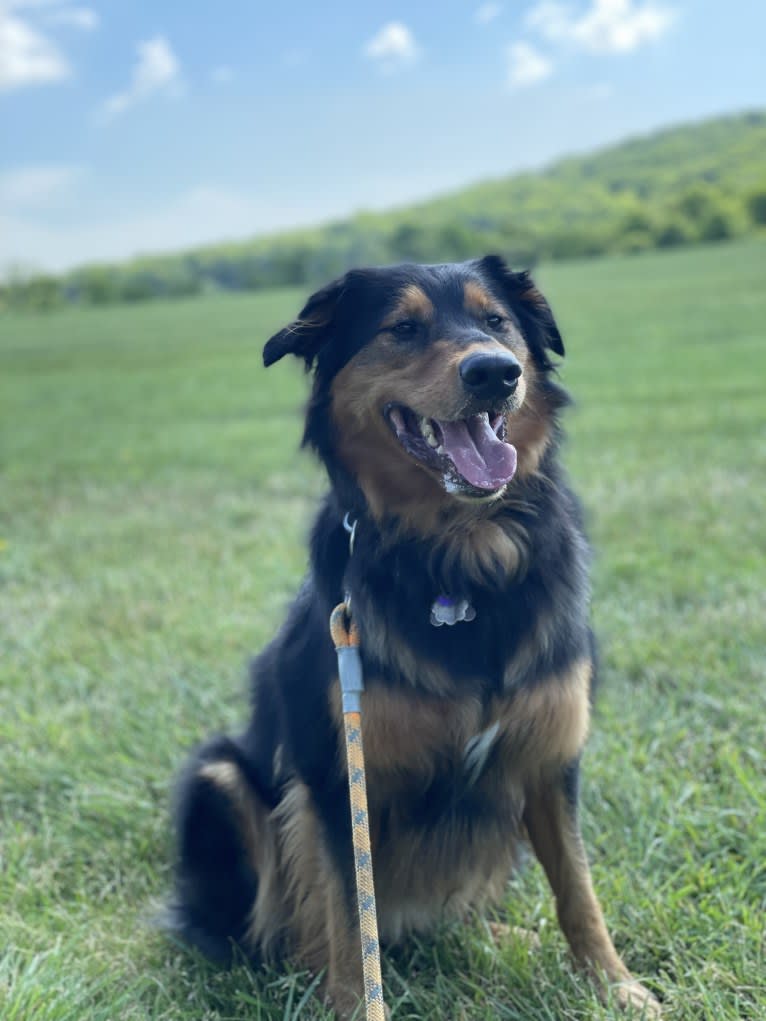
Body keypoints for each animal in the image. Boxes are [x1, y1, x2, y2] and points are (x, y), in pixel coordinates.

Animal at [170, 253, 661, 1012]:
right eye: (402, 328)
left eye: (497, 322)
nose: (494, 372)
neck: (459, 557)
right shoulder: (338, 775)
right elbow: (349, 922)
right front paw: (353, 1005)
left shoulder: (549, 756)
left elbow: (579, 888)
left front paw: (616, 986)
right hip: (218, 777)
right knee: (275, 933)